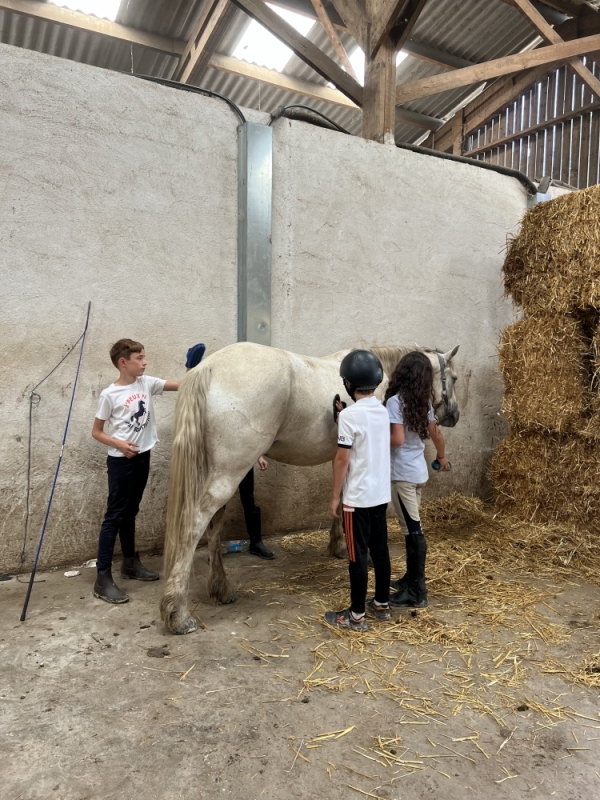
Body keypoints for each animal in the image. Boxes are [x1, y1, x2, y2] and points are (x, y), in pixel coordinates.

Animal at [159, 340, 460, 636]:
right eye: (454, 378)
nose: (454, 416)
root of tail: (207, 367)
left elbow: (343, 497)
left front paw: (339, 545)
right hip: (230, 472)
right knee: (194, 525)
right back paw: (179, 614)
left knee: (214, 524)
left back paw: (220, 589)